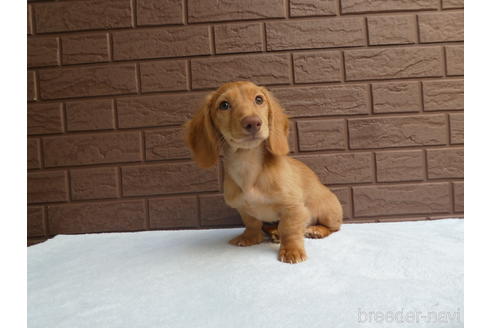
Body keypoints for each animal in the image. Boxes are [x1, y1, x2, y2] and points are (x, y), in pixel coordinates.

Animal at [184, 81, 342, 264]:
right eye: (224, 105)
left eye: (259, 99)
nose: (253, 123)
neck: (247, 166)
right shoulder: (243, 209)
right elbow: (252, 223)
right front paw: (250, 238)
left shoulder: (293, 208)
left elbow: (290, 229)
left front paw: (292, 250)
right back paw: (274, 233)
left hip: (328, 211)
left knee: (334, 227)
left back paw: (316, 230)